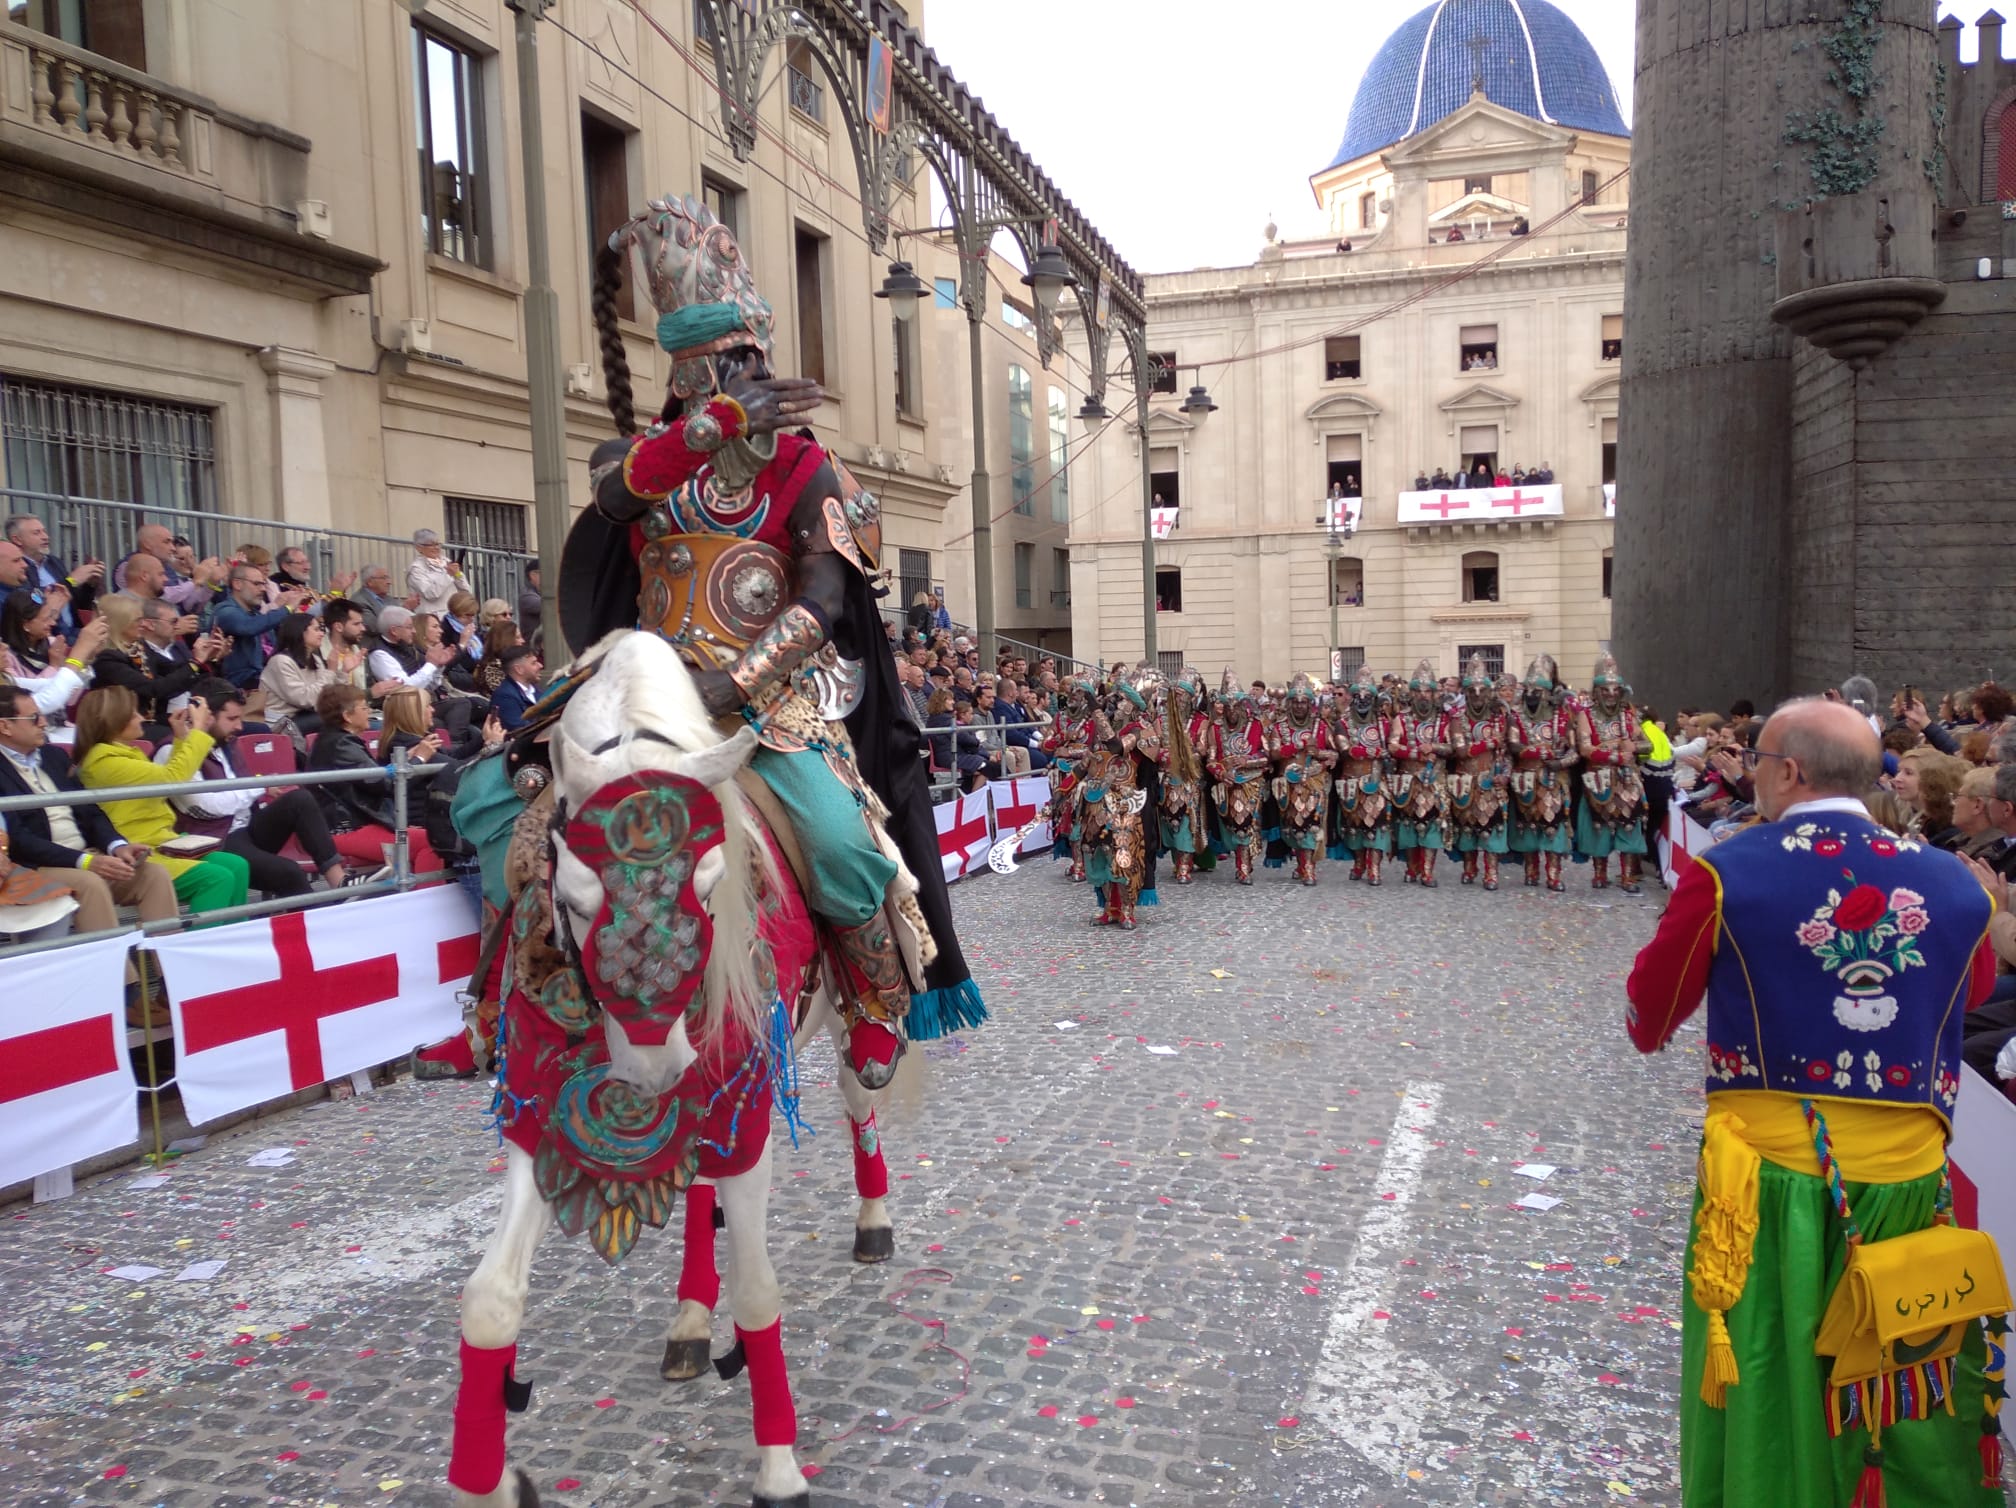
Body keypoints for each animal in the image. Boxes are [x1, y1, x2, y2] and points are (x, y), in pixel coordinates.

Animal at [449, 633, 907, 1508]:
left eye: (709, 885)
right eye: (574, 898)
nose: (652, 1069)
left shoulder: (747, 1104)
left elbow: (759, 1292)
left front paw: (779, 1469)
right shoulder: (542, 1114)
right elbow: (489, 1303)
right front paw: (490, 1482)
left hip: (841, 1008)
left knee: (858, 1090)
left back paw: (872, 1221)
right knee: (699, 1184)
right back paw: (692, 1319)